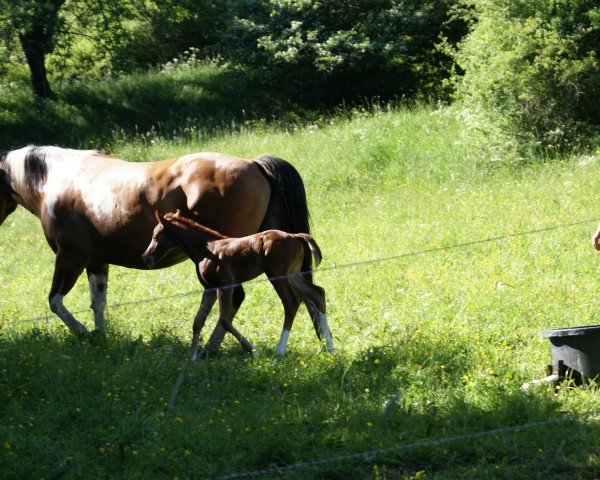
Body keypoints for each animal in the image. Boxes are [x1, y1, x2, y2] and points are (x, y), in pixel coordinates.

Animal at [0, 146, 310, 352]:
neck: (57, 181)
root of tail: (254, 164)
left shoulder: (70, 257)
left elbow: (56, 302)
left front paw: (85, 334)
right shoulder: (97, 262)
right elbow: (98, 303)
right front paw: (100, 338)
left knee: (234, 298)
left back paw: (210, 349)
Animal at [143, 211, 336, 360]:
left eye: (156, 236)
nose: (146, 257)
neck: (207, 250)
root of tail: (295, 236)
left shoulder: (225, 285)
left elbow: (224, 319)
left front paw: (253, 350)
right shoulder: (209, 288)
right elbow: (198, 321)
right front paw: (192, 357)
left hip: (277, 275)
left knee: (291, 303)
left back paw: (278, 353)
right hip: (293, 274)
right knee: (317, 293)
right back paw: (331, 348)